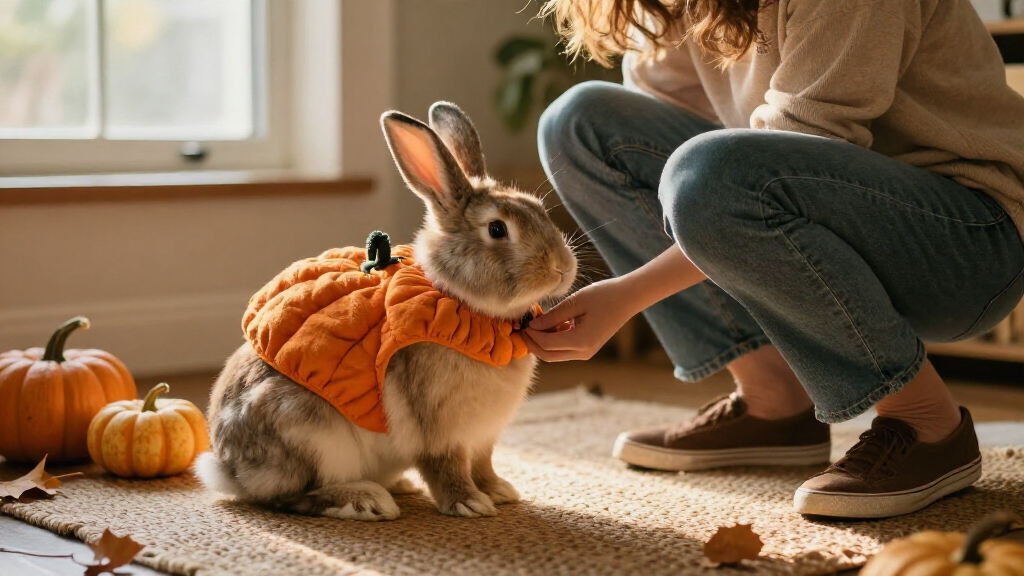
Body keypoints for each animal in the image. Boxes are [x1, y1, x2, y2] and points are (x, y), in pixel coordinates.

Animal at [195, 102, 578, 521]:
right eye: (497, 229)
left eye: (539, 209)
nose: (563, 268)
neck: (465, 307)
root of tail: (227, 468)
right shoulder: (439, 430)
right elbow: (447, 466)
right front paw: (469, 503)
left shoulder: (483, 436)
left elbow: (483, 463)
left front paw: (499, 491)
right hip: (310, 434)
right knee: (289, 497)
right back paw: (365, 501)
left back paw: (396, 486)